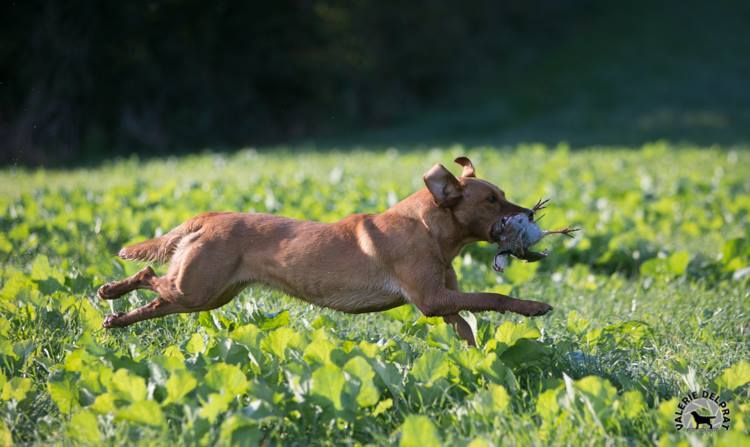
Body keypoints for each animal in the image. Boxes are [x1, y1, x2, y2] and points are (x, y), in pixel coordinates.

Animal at [98, 158, 552, 346]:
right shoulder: (431, 299)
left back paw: (114, 318)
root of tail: (208, 217)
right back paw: (109, 293)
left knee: (153, 302)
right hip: (196, 289)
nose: (530, 213)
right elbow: (494, 296)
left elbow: (467, 325)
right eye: (492, 200)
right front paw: (534, 307)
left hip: (206, 297)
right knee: (147, 277)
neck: (430, 230)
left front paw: (477, 360)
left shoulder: (443, 301)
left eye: (502, 195)